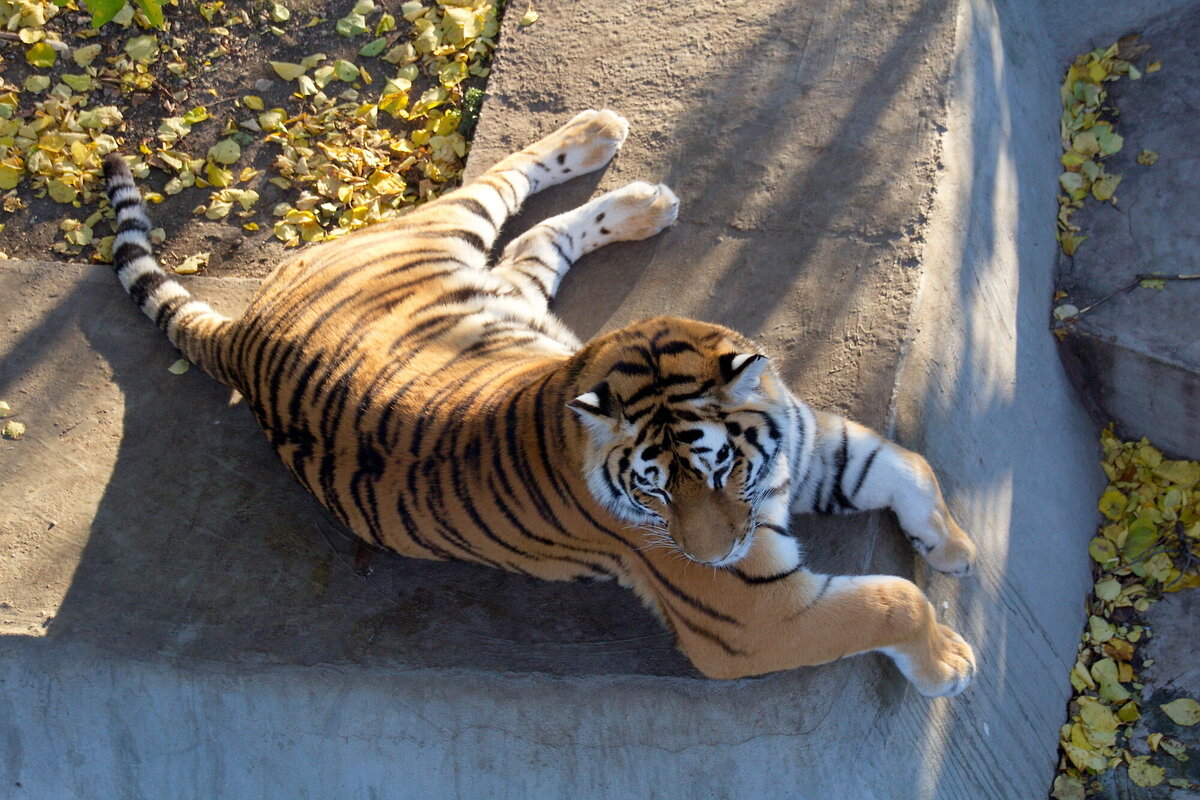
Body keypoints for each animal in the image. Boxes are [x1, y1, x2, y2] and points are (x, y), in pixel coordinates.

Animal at [105, 109, 974, 695]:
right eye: (654, 492)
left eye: (721, 470)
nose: (709, 558)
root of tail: (244, 331)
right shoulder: (751, 620)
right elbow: (893, 600)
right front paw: (950, 662)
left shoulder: (805, 443)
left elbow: (912, 468)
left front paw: (953, 547)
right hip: (441, 229)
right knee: (501, 184)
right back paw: (600, 139)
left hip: (502, 286)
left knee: (532, 236)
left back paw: (634, 189)